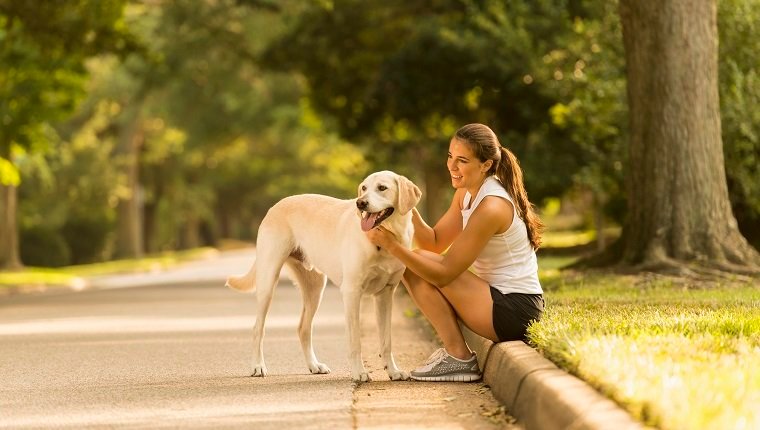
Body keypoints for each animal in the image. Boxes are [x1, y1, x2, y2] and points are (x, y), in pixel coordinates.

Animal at [229, 170, 424, 382]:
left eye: (382, 188)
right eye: (364, 188)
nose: (360, 203)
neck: (385, 239)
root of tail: (275, 206)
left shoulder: (386, 294)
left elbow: (387, 341)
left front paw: (393, 371)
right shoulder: (352, 292)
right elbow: (355, 341)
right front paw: (359, 372)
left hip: (315, 289)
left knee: (303, 328)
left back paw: (314, 365)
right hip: (268, 281)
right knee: (258, 328)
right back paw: (258, 366)